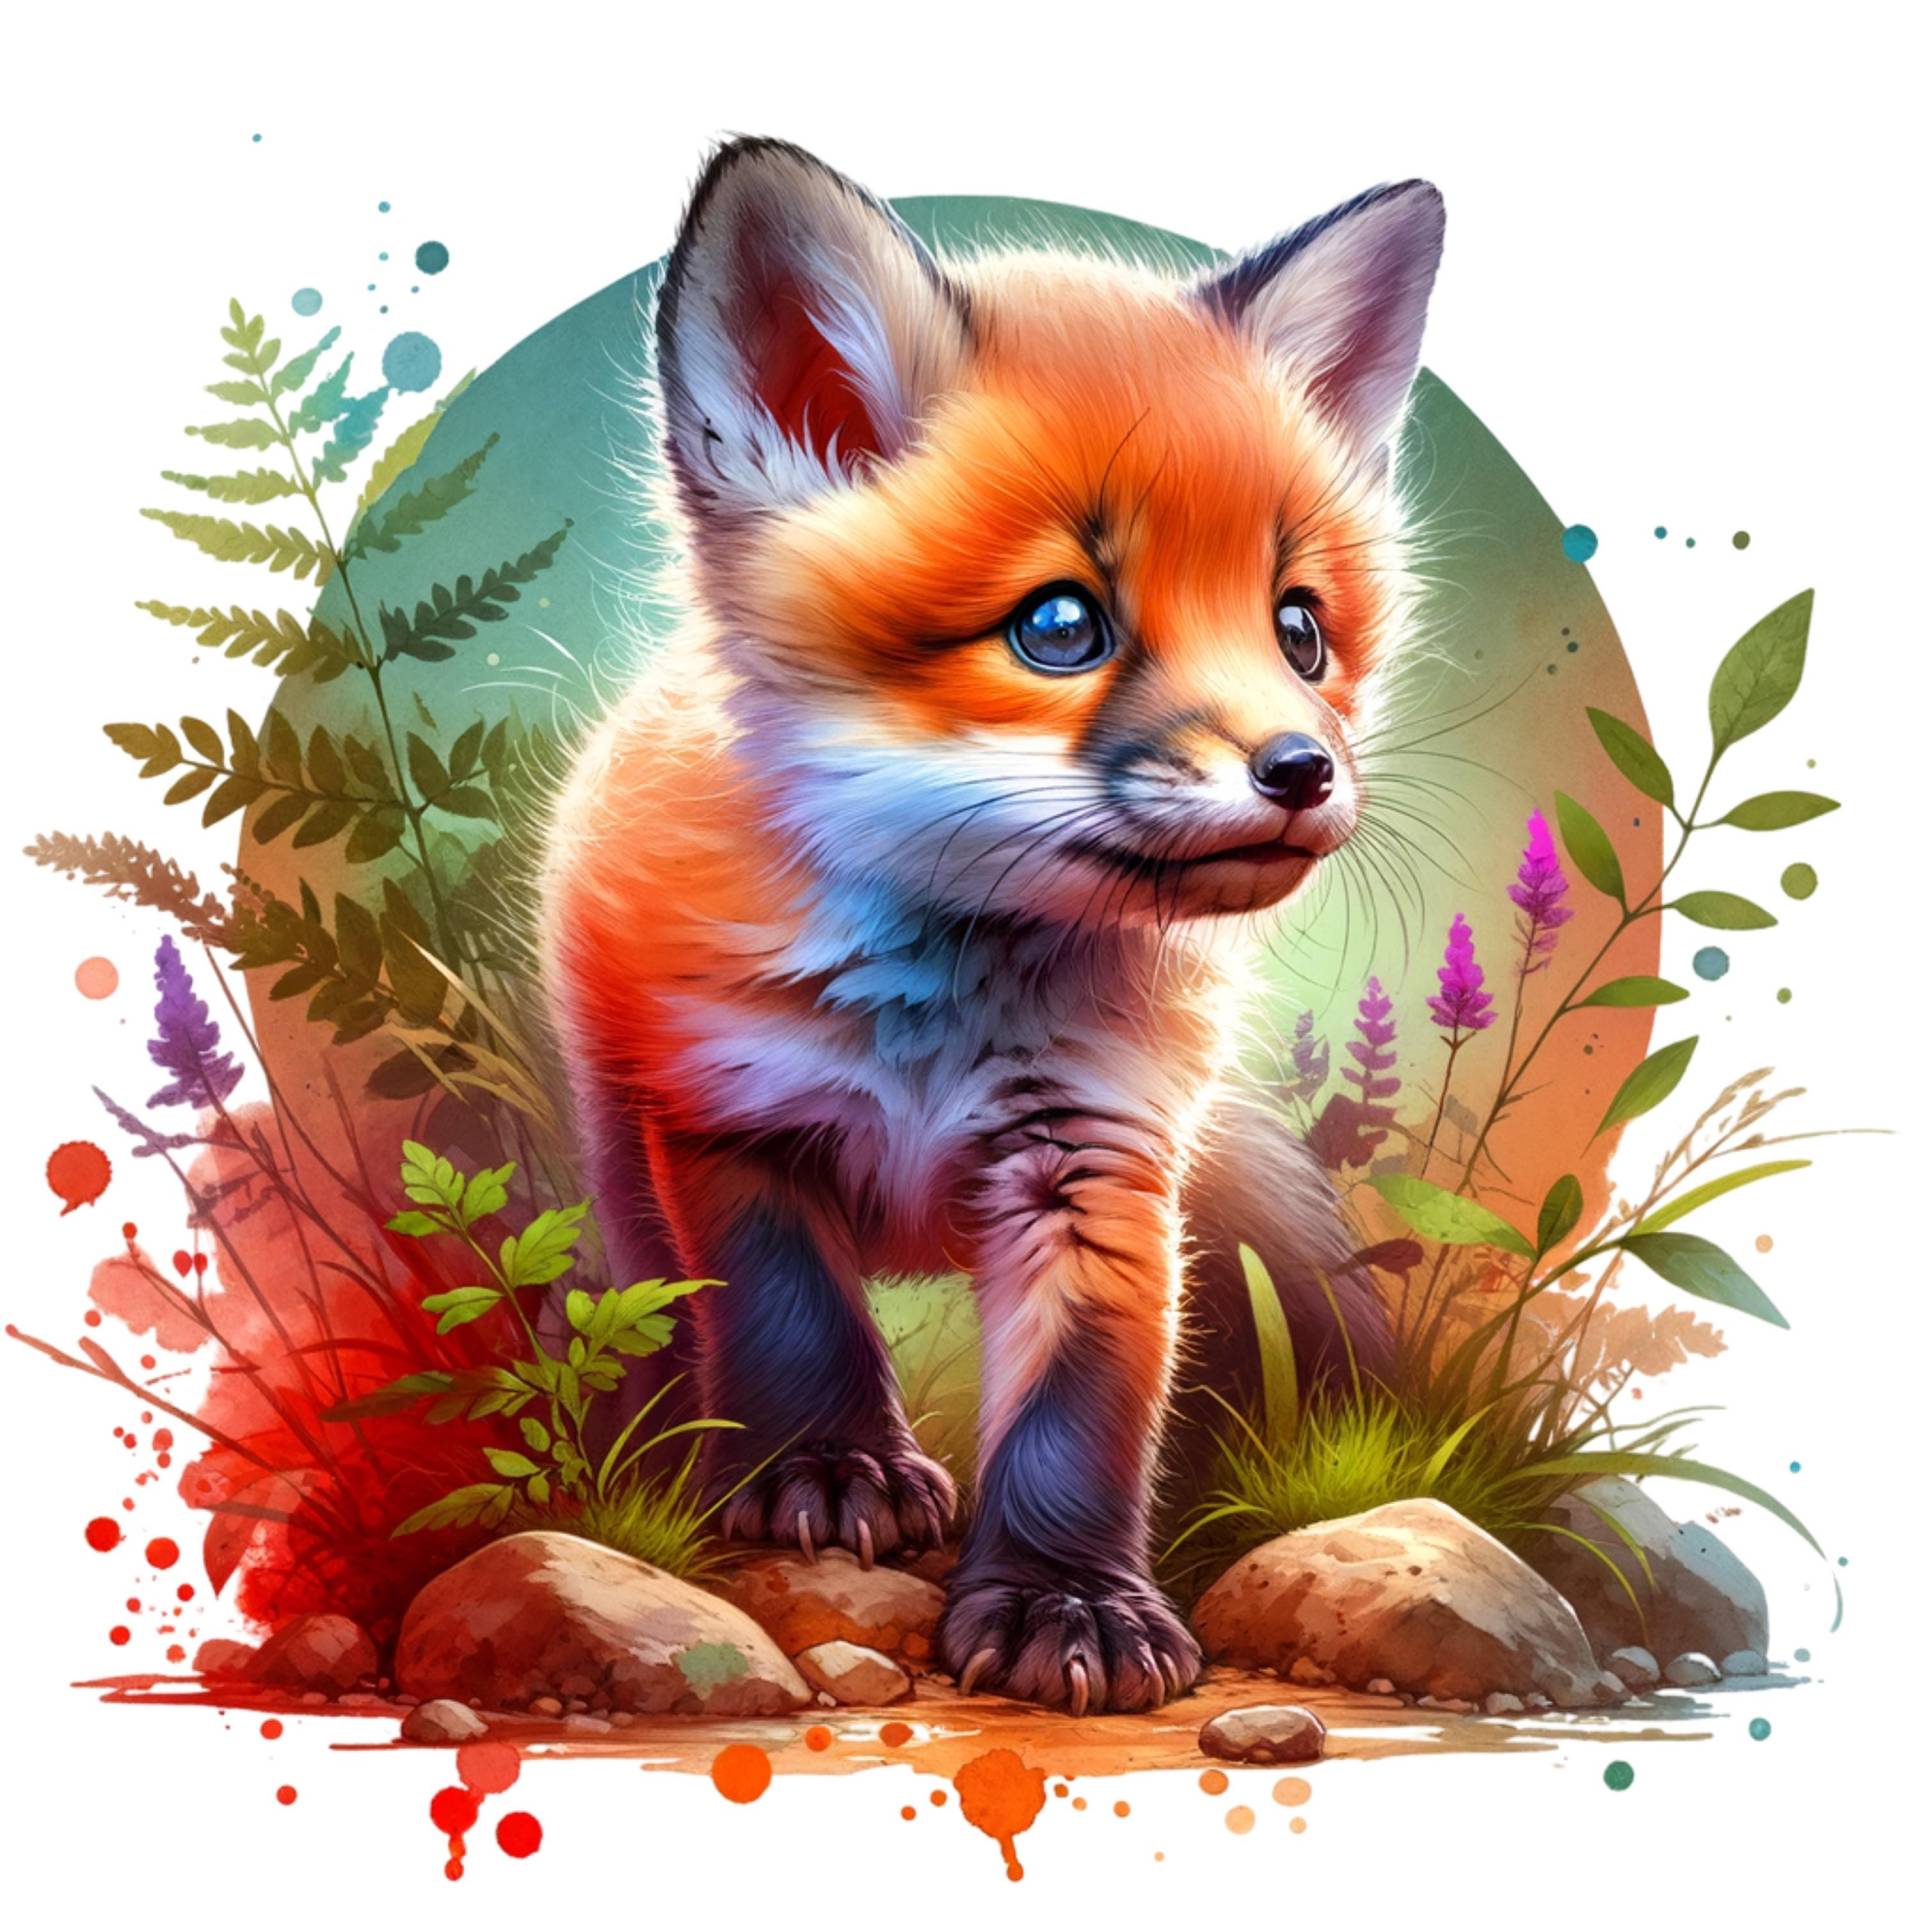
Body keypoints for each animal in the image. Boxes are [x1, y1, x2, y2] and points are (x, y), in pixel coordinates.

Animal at [539, 137, 1443, 1715]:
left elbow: (1080, 1414)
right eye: (1061, 626)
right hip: (623, 1150)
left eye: (1301, 630)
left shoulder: (1101, 1157)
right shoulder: (731, 1118)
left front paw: (1065, 1603)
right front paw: (828, 1471)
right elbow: (790, 1321)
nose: (1302, 772)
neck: (944, 1014)